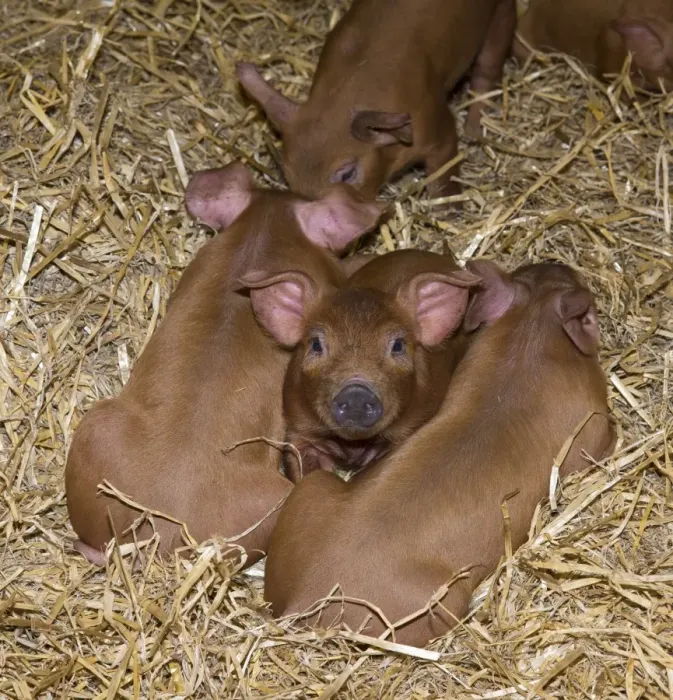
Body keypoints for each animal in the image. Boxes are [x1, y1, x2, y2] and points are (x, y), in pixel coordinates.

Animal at [236, 0, 517, 201]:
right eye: (288, 175)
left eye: (347, 173)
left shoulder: (435, 123)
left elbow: (444, 168)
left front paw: (448, 208)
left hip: (500, 14)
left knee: (488, 68)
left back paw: (474, 130)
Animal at [264, 261, 616, 647]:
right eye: (591, 314)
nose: (557, 262)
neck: (532, 338)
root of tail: (305, 598)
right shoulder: (592, 426)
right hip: (440, 604)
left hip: (313, 491)